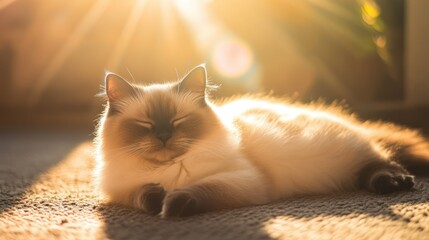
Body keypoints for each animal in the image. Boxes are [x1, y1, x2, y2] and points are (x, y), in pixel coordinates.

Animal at [95, 63, 428, 218]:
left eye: (178, 122)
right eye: (145, 125)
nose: (164, 136)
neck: (165, 171)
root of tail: (352, 121)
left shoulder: (241, 180)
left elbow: (196, 190)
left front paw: (170, 205)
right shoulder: (120, 189)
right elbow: (141, 195)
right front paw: (156, 199)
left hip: (348, 154)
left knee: (381, 161)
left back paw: (394, 183)